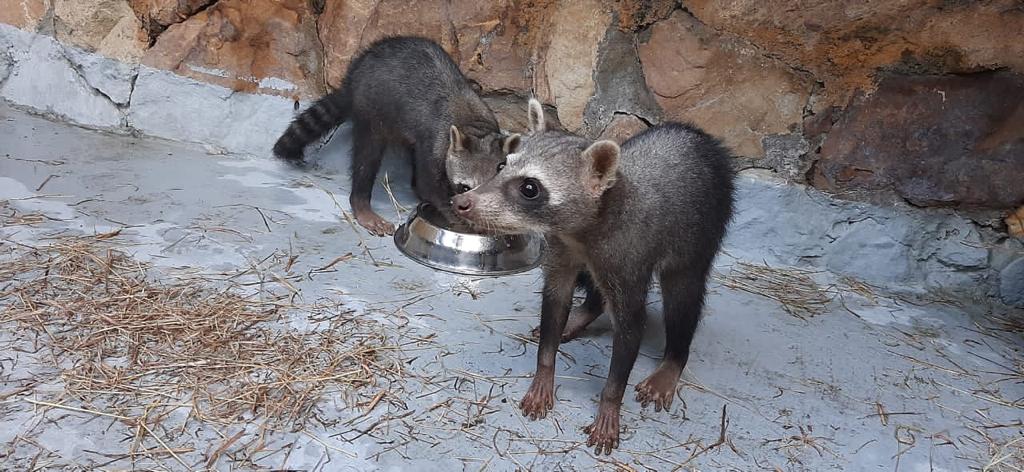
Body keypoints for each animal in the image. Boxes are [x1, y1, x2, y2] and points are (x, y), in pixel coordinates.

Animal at [270, 35, 516, 234]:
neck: (475, 127)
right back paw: (361, 201)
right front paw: (455, 214)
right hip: (372, 112)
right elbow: (429, 186)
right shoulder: (435, 143)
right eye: (465, 187)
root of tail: (354, 78)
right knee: (367, 157)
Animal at [452, 98, 733, 452]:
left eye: (530, 188)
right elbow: (555, 302)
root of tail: (703, 137)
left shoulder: (627, 255)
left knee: (684, 295)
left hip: (703, 229)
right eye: (502, 165)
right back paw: (586, 311)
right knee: (596, 286)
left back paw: (674, 357)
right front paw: (545, 370)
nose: (461, 201)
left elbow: (631, 327)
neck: (581, 233)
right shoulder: (562, 248)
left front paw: (610, 402)